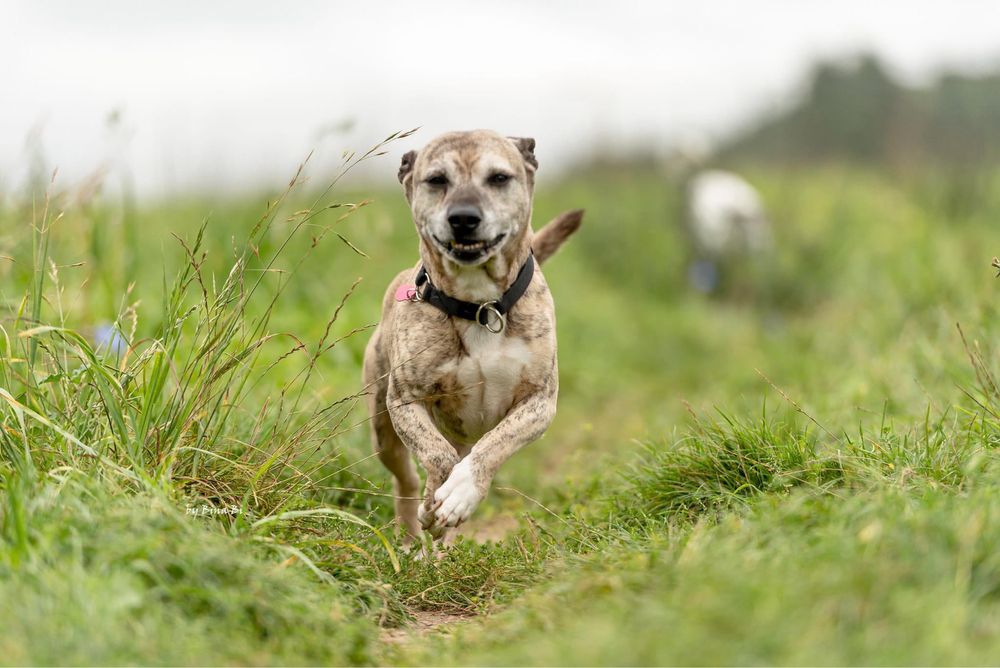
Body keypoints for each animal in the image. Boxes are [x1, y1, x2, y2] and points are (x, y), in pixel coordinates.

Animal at [364, 129, 584, 544]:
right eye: (437, 180)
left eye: (498, 177)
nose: (463, 218)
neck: (480, 305)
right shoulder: (404, 400)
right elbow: (437, 456)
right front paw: (435, 502)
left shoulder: (539, 401)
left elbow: (494, 445)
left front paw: (460, 494)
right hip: (382, 427)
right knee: (405, 478)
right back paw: (413, 536)